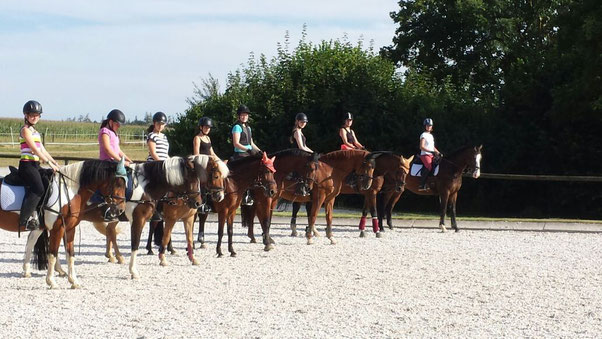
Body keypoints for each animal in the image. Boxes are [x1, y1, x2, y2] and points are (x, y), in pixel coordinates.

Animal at [17, 160, 127, 290]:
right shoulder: (57, 229)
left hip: (39, 227)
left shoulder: (69, 229)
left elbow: (70, 255)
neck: (69, 192)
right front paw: (51, 282)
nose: (121, 210)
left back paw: (26, 271)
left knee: (31, 240)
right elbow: (52, 254)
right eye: (118, 183)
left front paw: (73, 281)